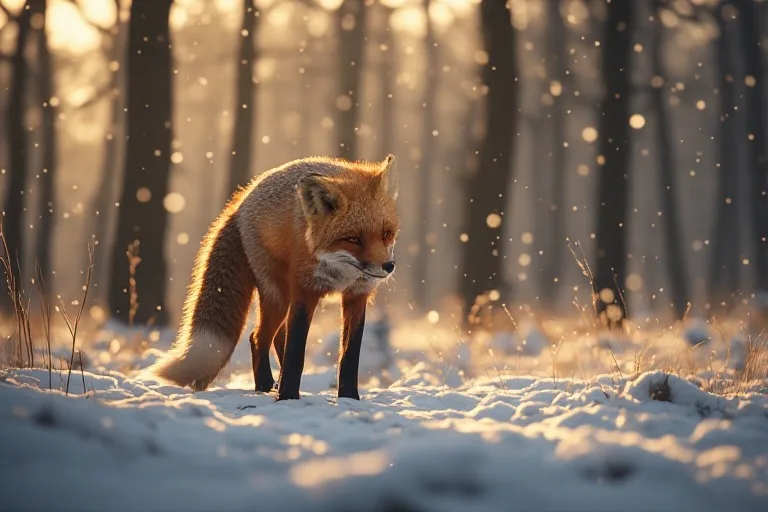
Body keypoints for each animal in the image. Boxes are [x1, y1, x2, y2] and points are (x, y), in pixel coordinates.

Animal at [147, 154, 400, 401]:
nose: (388, 266)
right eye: (354, 239)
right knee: (258, 337)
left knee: (277, 337)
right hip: (278, 295)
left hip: (282, 300)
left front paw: (349, 398)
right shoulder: (305, 290)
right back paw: (264, 385)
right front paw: (288, 397)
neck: (342, 272)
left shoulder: (357, 295)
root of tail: (241, 199)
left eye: (386, 233)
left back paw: (273, 384)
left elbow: (349, 354)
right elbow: (296, 350)